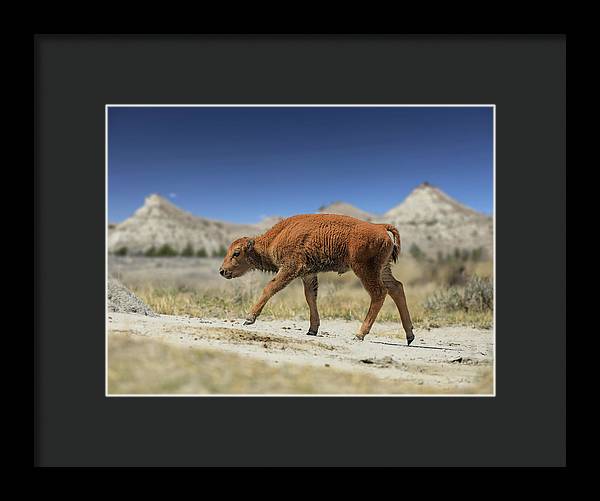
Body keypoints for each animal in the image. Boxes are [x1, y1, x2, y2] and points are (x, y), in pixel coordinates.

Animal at [218, 211, 414, 344]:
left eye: (236, 253)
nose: (222, 271)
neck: (277, 236)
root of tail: (380, 227)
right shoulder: (308, 274)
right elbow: (310, 297)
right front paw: (312, 330)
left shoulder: (290, 268)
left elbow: (270, 287)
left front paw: (249, 318)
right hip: (383, 269)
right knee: (396, 288)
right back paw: (410, 335)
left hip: (365, 270)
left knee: (379, 293)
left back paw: (359, 334)